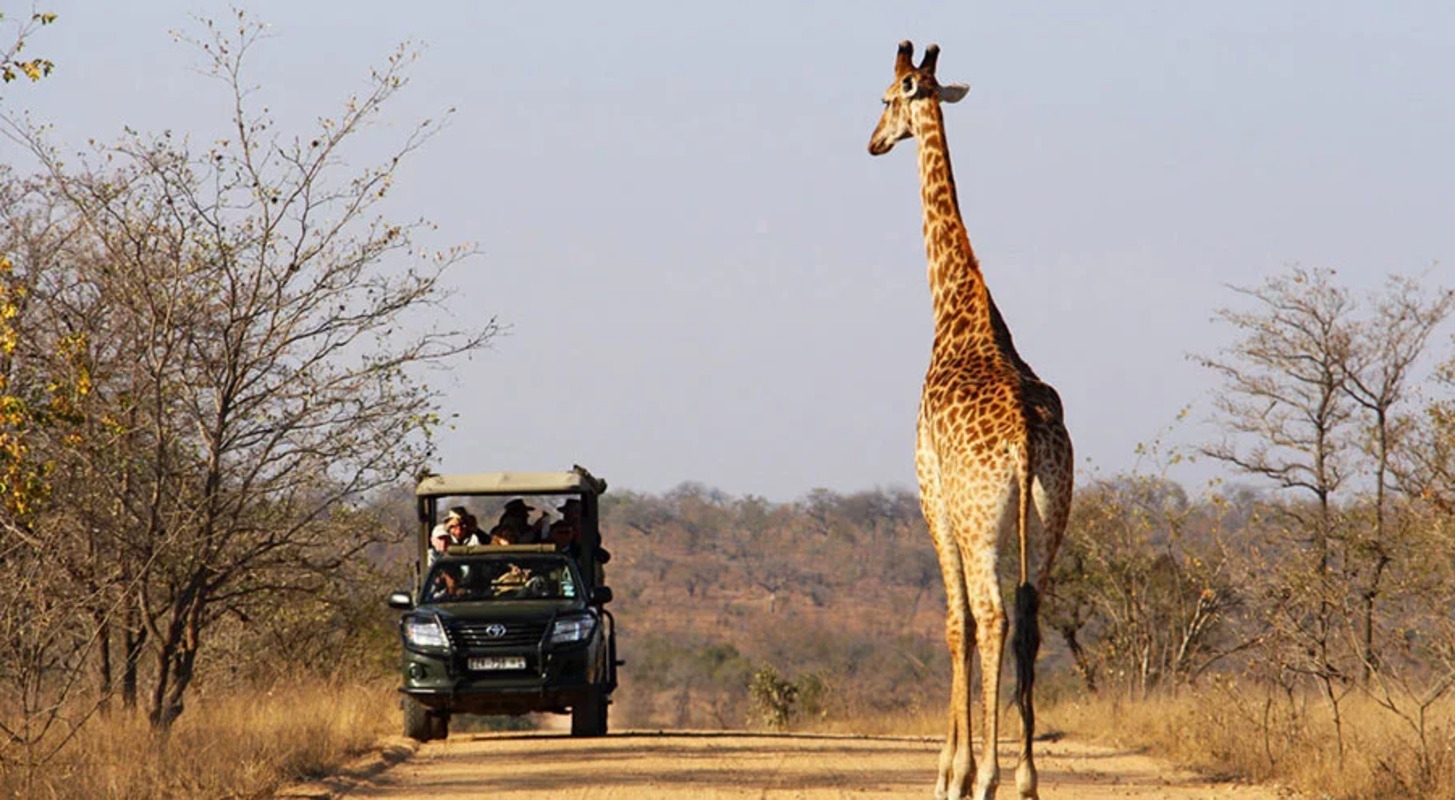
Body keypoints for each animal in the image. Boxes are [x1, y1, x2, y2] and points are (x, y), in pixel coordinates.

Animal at [867, 40, 1076, 797]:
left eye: (886, 99)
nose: (872, 143)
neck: (957, 311)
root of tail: (1024, 441)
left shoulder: (930, 488)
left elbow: (954, 622)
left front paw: (948, 772)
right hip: (1050, 515)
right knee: (1030, 617)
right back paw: (1025, 777)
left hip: (980, 517)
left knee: (989, 616)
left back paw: (985, 775)